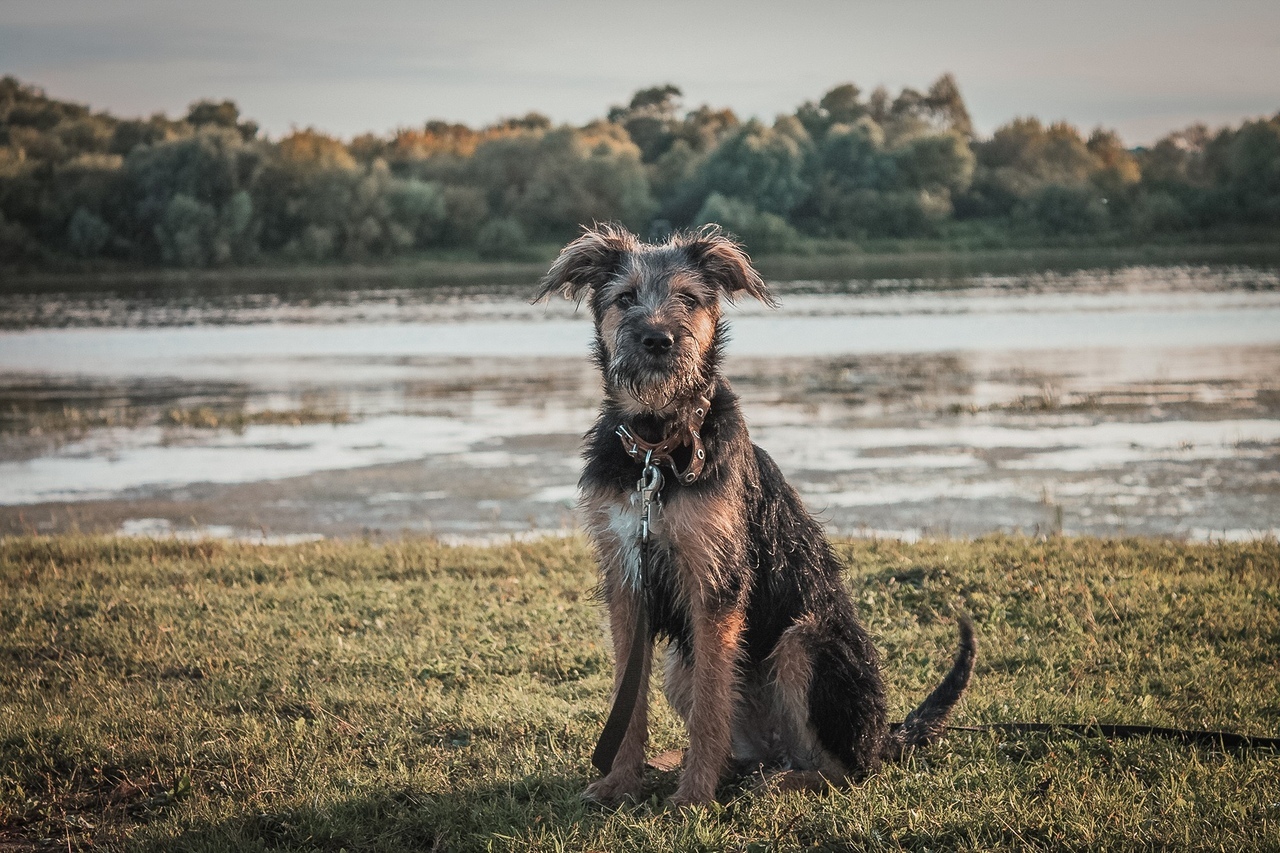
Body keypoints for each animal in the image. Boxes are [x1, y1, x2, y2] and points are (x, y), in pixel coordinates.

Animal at [535, 220, 972, 804]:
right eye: (625, 298)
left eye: (688, 299)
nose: (658, 341)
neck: (658, 448)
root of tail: (884, 736)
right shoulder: (627, 581)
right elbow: (629, 705)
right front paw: (619, 783)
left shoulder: (715, 585)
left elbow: (710, 708)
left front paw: (693, 798)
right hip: (681, 663)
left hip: (802, 642)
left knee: (841, 769)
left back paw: (774, 781)